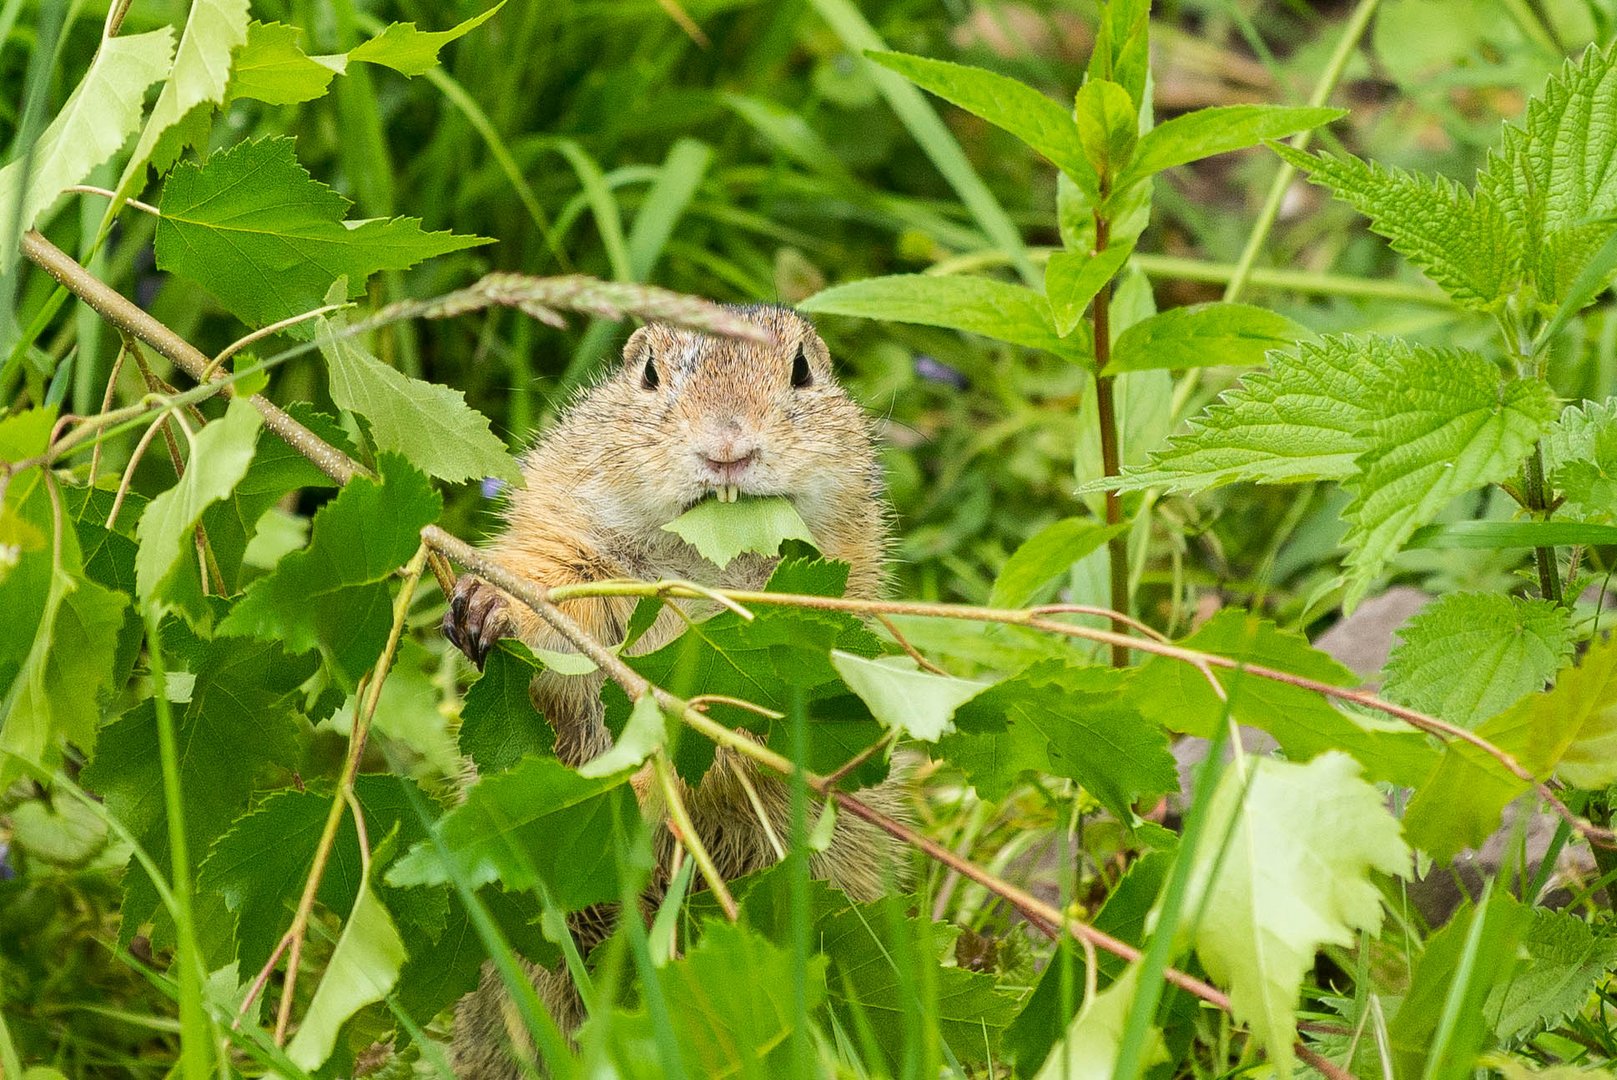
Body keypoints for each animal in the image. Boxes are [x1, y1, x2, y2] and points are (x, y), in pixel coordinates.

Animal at [443, 305, 905, 1080]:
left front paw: (643, 790)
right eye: (650, 372)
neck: (703, 553)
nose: (727, 447)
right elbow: (551, 602)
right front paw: (483, 605)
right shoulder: (571, 538)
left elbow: (745, 734)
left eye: (802, 370)